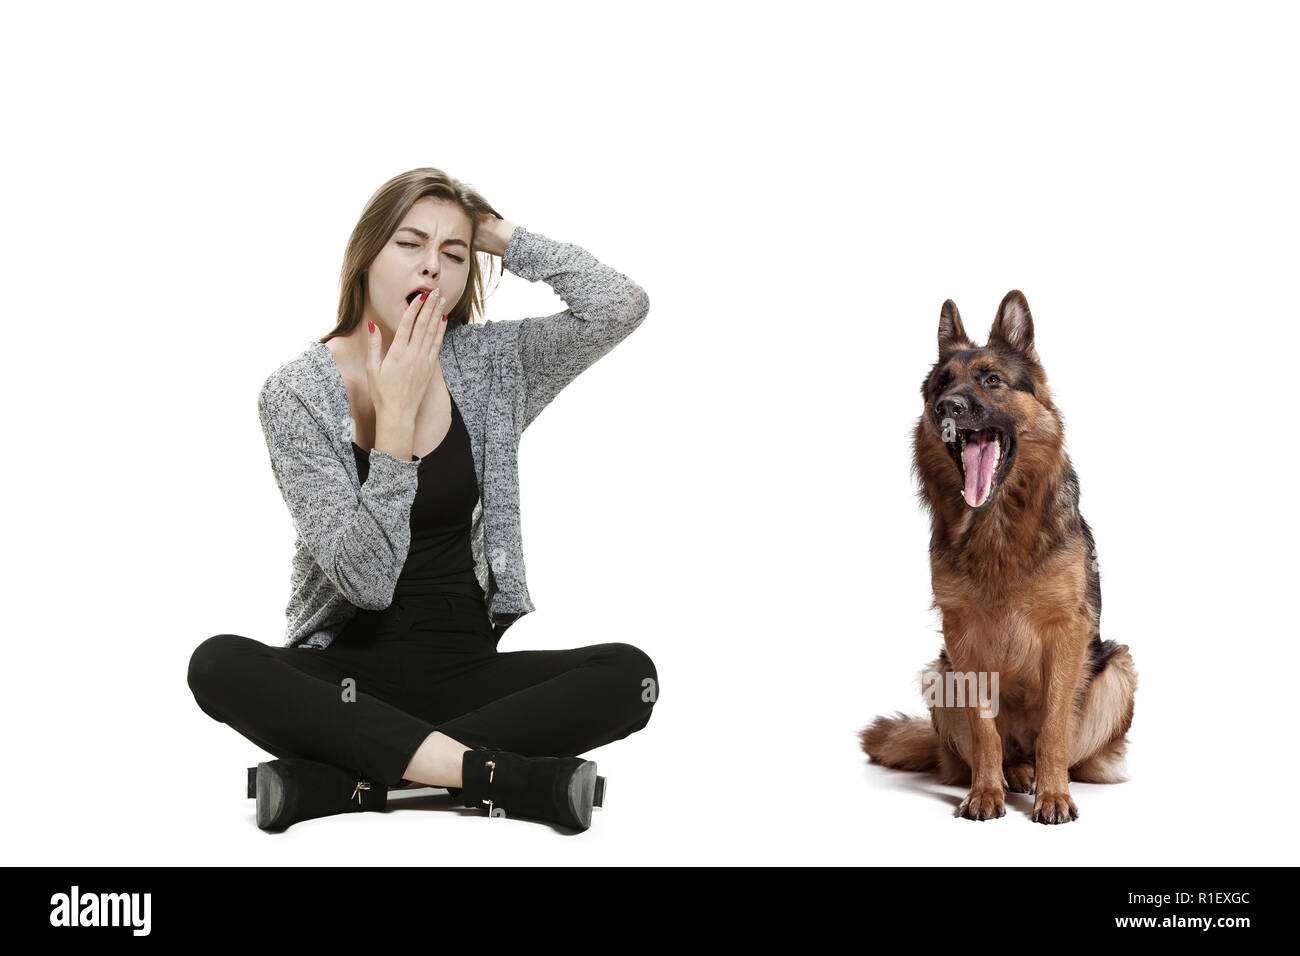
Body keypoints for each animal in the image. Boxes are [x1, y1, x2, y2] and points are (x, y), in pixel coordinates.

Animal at [863, 290, 1138, 822]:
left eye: (993, 380)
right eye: (941, 384)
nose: (947, 406)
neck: (997, 527)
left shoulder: (1066, 632)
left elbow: (1053, 728)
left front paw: (1054, 795)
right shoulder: (962, 635)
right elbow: (984, 729)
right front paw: (985, 791)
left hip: (1117, 669)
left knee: (1071, 751)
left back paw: (1040, 776)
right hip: (940, 674)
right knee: (983, 750)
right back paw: (1011, 774)